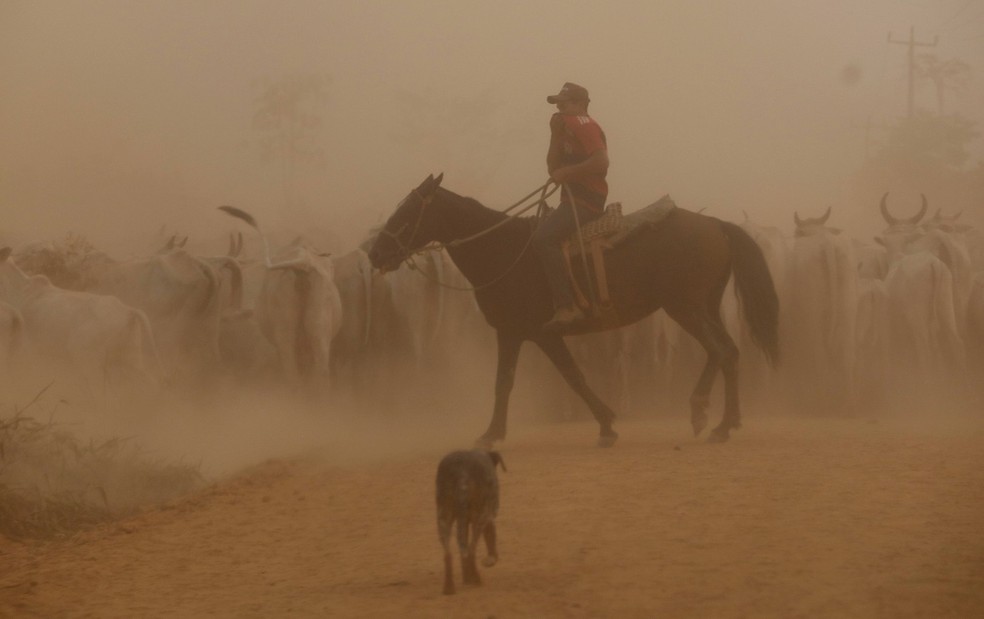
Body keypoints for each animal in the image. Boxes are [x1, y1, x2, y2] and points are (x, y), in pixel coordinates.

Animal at [366, 173, 780, 446]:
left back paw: (716, 421)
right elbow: (510, 381)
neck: (504, 250)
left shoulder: (538, 333)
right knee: (725, 352)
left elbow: (568, 377)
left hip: (687, 308)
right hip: (702, 307)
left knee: (722, 351)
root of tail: (715, 225)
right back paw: (710, 416)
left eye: (407, 212)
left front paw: (606, 425)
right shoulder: (513, 333)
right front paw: (494, 432)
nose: (375, 252)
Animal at [432, 450, 504, 596]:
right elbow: (490, 539)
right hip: (479, 518)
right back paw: (476, 579)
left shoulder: (464, 520)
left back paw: (449, 588)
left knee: (449, 554)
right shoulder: (488, 515)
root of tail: (461, 470)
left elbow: (462, 551)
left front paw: (466, 578)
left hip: (443, 518)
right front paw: (490, 560)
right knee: (471, 550)